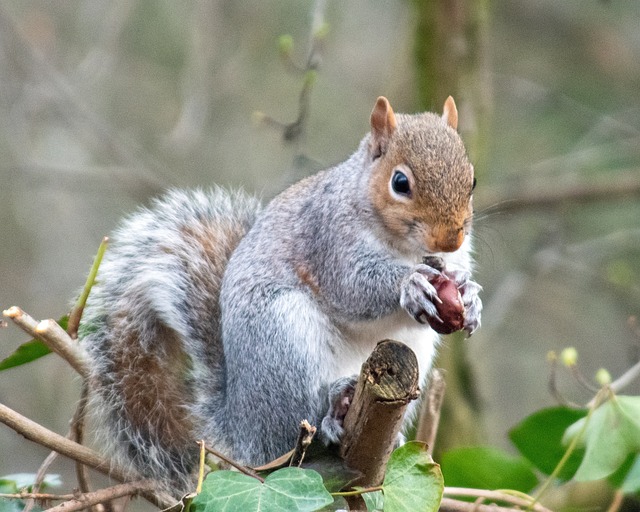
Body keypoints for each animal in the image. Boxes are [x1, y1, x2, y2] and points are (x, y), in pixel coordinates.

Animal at [80, 96, 480, 496]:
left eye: (472, 180)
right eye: (400, 183)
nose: (450, 239)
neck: (405, 248)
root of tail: (241, 434)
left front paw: (469, 295)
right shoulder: (328, 239)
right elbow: (354, 287)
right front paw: (409, 284)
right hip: (283, 338)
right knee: (294, 433)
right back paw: (332, 409)